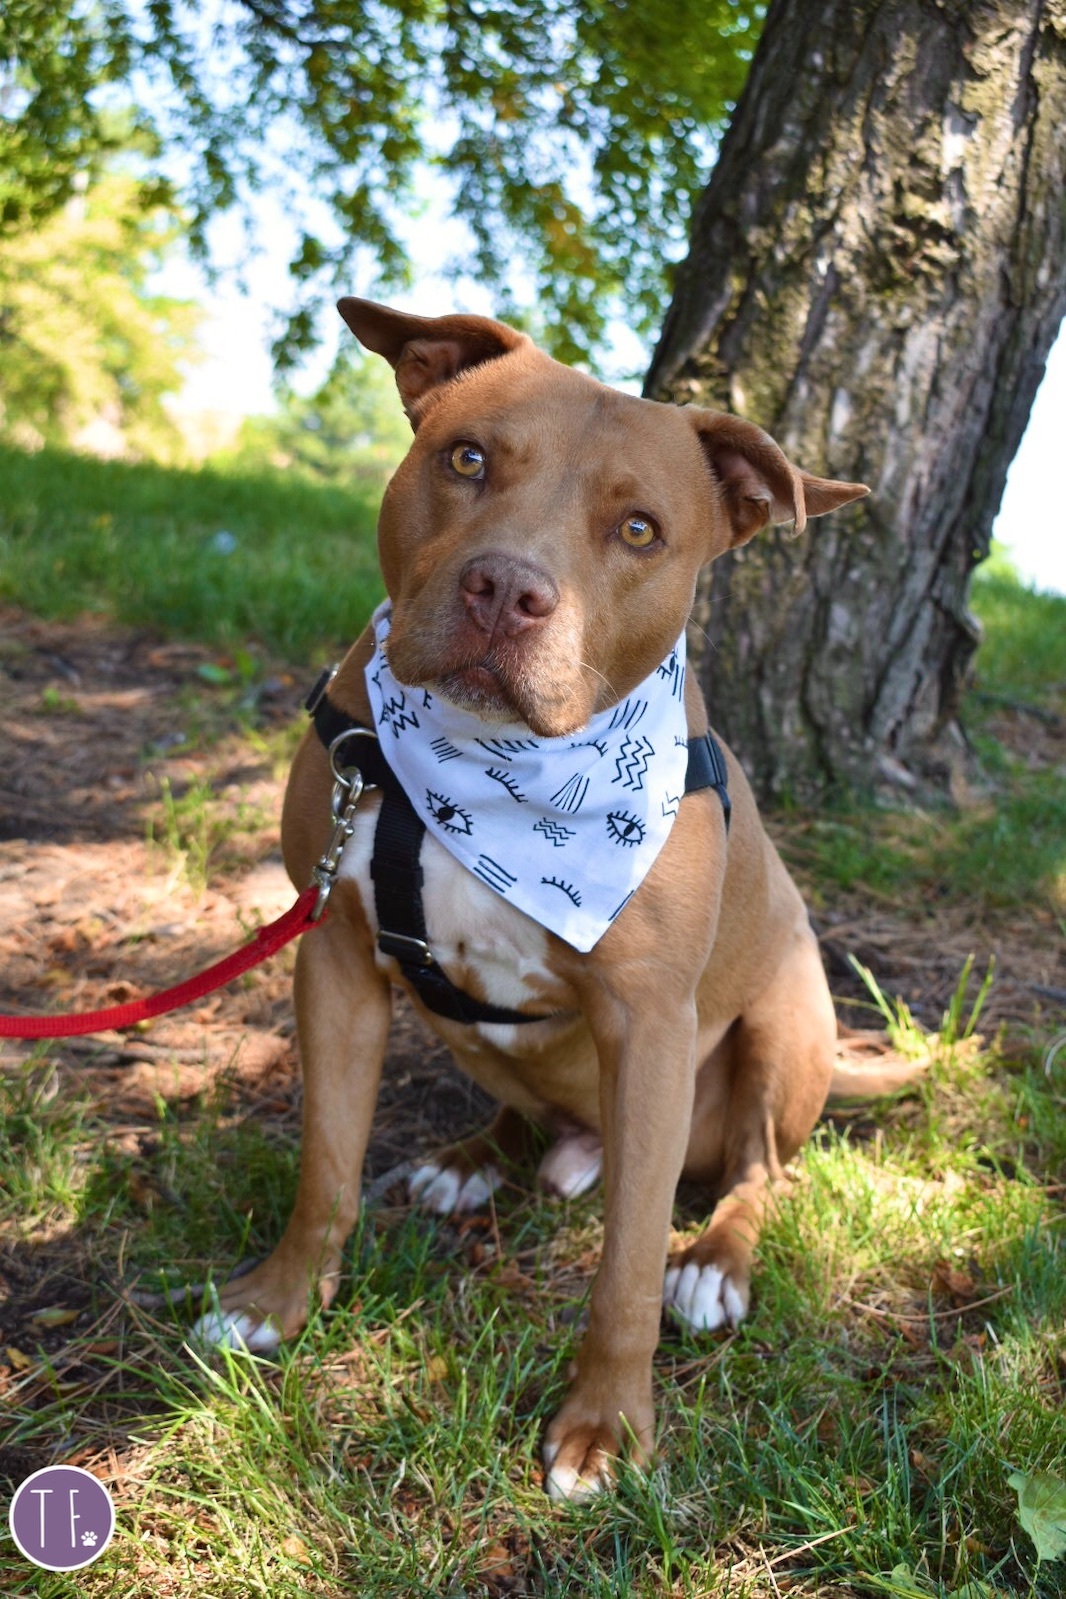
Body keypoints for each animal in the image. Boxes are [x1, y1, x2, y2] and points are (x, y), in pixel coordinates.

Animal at [194, 297, 875, 1496]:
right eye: (466, 458)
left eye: (640, 530)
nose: (506, 589)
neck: (498, 771)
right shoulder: (336, 959)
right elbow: (325, 1166)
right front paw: (276, 1303)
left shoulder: (649, 1025)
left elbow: (626, 1266)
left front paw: (606, 1426)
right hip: (474, 1036)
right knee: (523, 1106)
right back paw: (472, 1161)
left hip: (786, 1022)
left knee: (758, 1173)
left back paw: (715, 1264)